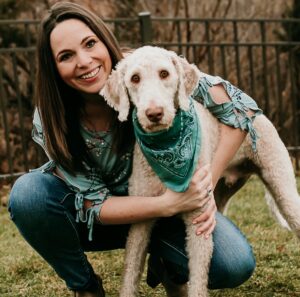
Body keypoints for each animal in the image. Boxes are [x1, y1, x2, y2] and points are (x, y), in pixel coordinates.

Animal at [101, 45, 300, 294]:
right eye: (134, 78)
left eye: (164, 73)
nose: (154, 113)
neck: (168, 144)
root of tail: (256, 113)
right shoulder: (140, 220)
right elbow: (130, 273)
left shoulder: (199, 223)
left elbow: (197, 281)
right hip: (219, 195)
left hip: (281, 185)